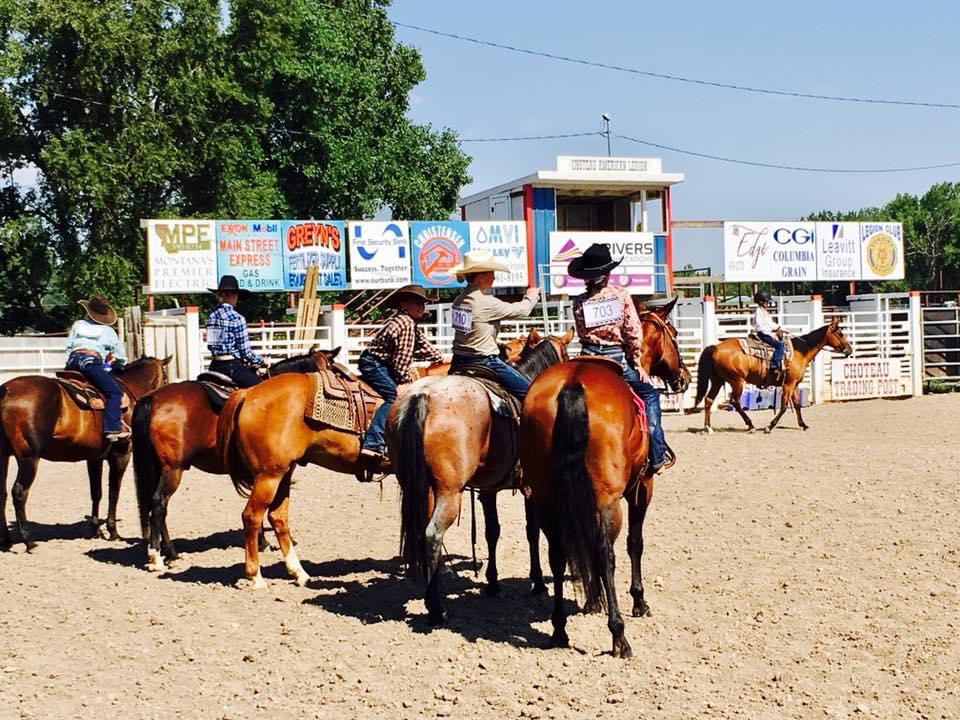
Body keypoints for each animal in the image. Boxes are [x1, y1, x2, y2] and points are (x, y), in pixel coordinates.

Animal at [0, 356, 171, 552]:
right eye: (165, 377)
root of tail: (6, 391)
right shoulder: (121, 454)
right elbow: (114, 492)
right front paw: (113, 531)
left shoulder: (94, 458)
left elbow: (96, 492)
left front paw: (96, 529)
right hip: (29, 458)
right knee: (19, 492)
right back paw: (29, 541)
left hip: (4, 456)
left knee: (2, 493)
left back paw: (6, 540)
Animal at [130, 346, 342, 572]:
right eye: (333, 370)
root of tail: (152, 399)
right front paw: (267, 542)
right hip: (173, 469)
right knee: (159, 503)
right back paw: (157, 556)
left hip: (158, 467)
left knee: (157, 506)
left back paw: (170, 553)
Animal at [392, 326, 572, 624]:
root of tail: (423, 396)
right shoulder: (531, 488)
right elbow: (532, 531)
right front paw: (537, 582)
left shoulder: (488, 489)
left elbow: (492, 532)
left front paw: (493, 582)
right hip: (449, 492)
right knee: (432, 533)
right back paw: (436, 609)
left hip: (418, 486)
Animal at [516, 310, 688, 660]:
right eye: (674, 334)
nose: (684, 378)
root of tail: (573, 385)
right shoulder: (642, 488)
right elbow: (635, 543)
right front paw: (638, 601)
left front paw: (592, 601)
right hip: (608, 501)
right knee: (606, 552)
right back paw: (619, 636)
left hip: (546, 497)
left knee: (558, 551)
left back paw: (559, 629)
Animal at [688, 320, 856, 434]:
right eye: (840, 334)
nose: (849, 349)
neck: (800, 351)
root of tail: (716, 347)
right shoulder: (788, 384)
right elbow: (784, 406)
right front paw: (769, 426)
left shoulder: (794, 384)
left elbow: (796, 404)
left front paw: (803, 425)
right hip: (737, 381)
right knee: (735, 401)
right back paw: (750, 425)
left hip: (718, 380)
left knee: (709, 400)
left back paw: (708, 427)